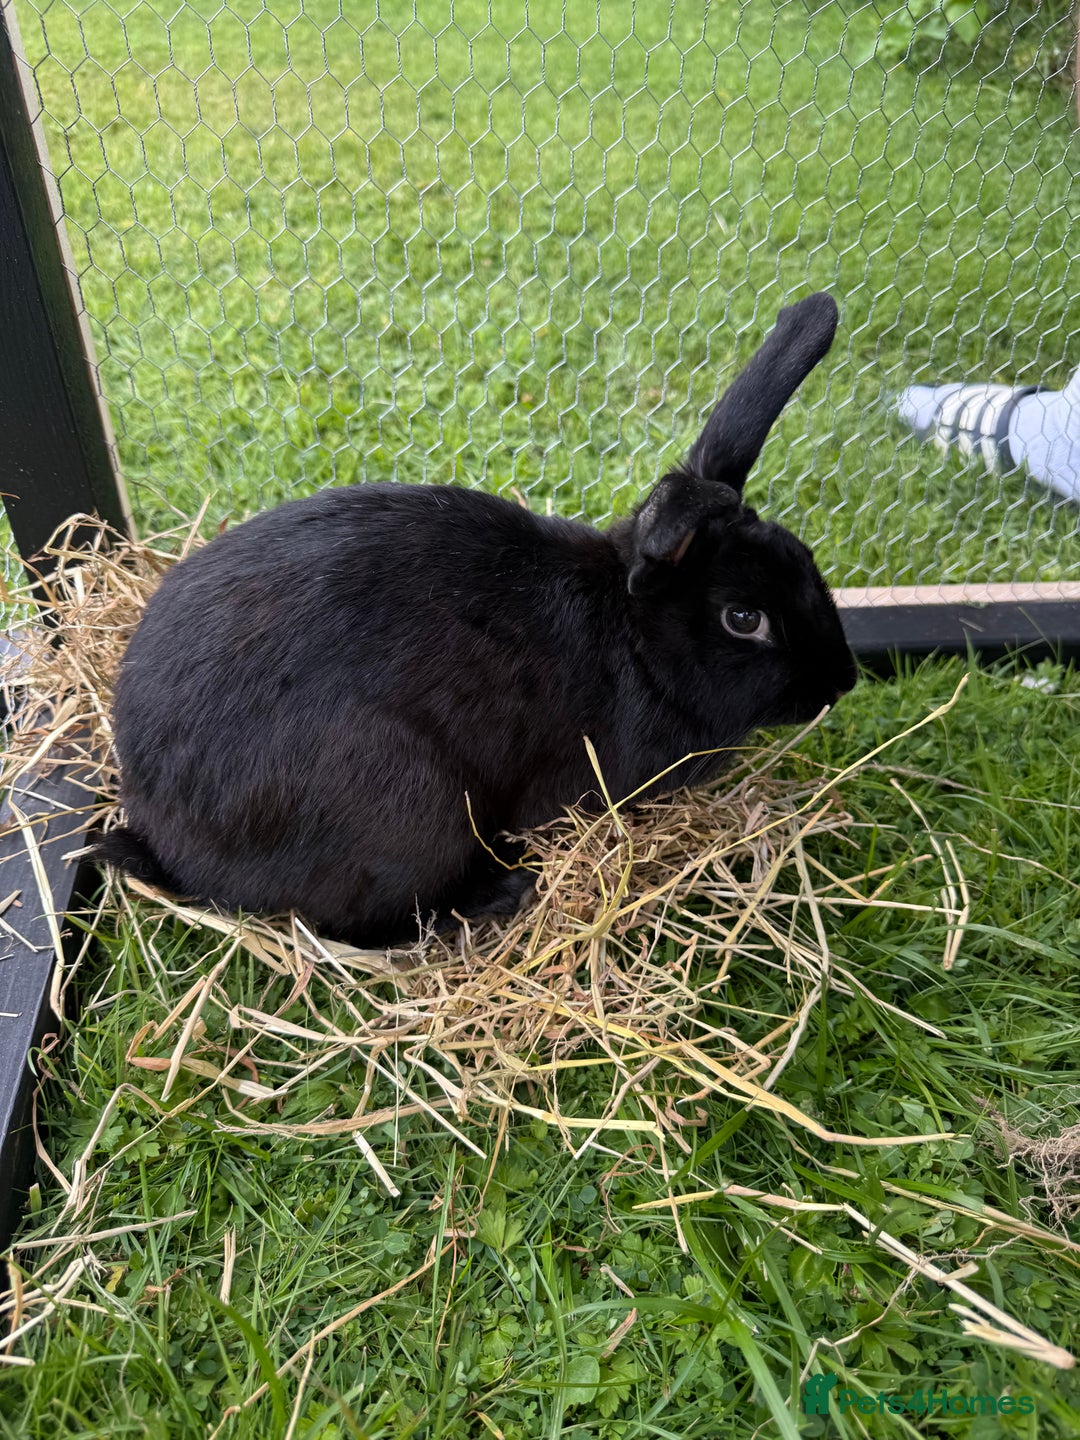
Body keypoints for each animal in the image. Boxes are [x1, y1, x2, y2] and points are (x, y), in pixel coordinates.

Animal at [98, 291, 857, 947]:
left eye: (804, 559)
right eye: (742, 617)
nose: (843, 683)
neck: (636, 642)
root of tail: (163, 835)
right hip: (408, 806)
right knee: (358, 925)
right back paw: (499, 894)